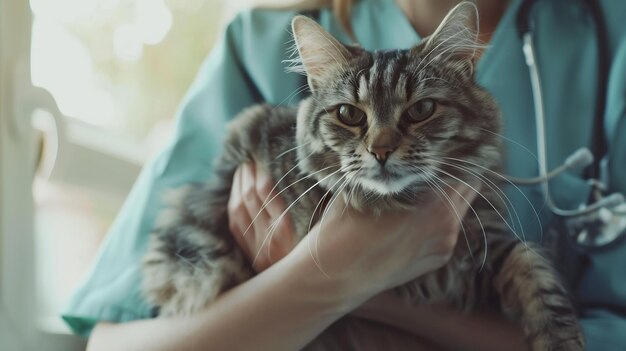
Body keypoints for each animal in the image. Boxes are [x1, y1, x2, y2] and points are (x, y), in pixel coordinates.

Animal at [141, 3, 580, 351]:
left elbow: (536, 272)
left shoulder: (487, 246)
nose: (381, 151)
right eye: (349, 115)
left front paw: (561, 340)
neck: (401, 200)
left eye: (421, 110)